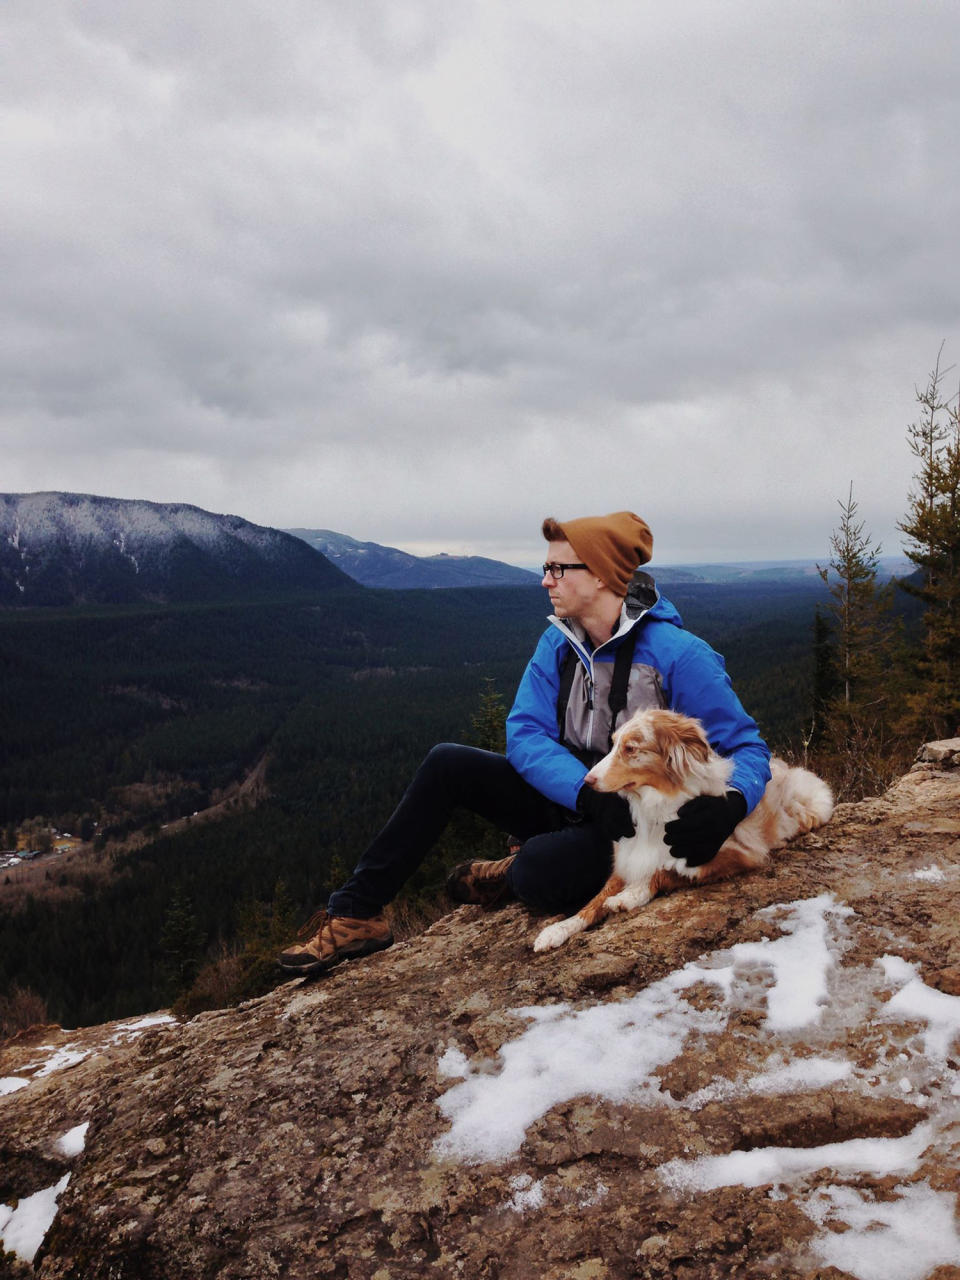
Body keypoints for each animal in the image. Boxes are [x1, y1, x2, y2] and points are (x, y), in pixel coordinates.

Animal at [535, 711, 834, 952]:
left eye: (630, 748)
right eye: (614, 743)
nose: (586, 781)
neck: (652, 807)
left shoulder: (731, 855)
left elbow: (663, 871)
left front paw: (629, 896)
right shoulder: (623, 862)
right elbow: (592, 903)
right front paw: (556, 930)